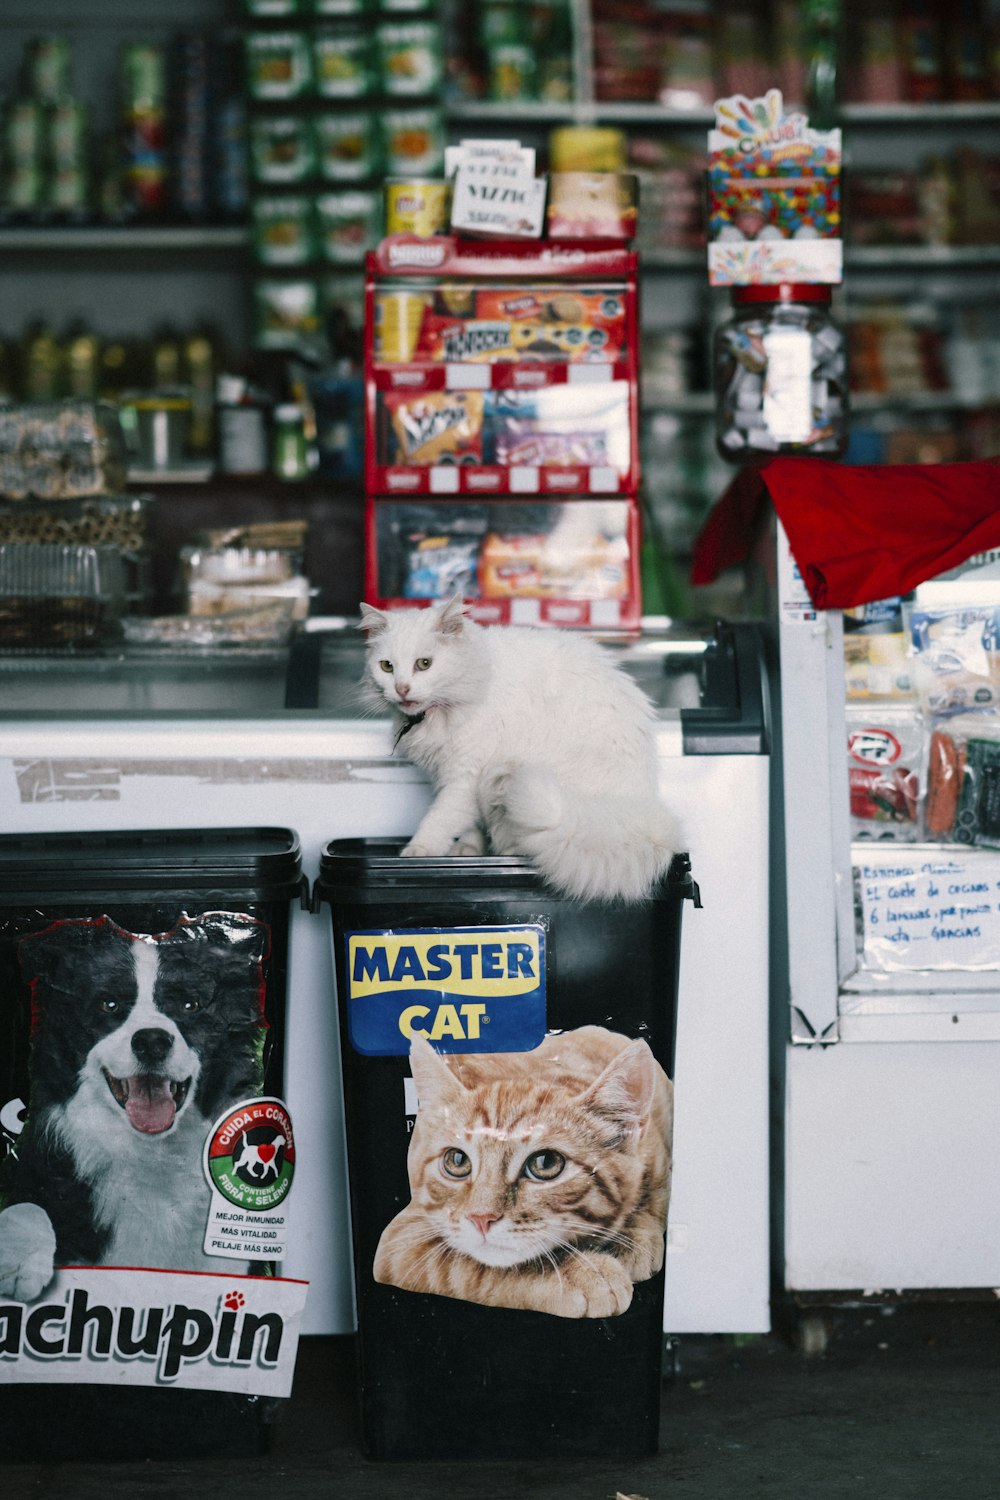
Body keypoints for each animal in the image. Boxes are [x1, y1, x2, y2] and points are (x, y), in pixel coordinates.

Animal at [359, 594, 680, 900]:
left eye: (424, 664)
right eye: (387, 667)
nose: (401, 689)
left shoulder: (466, 776)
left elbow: (440, 818)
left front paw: (417, 850)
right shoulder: (448, 777)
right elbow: (470, 824)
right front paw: (468, 850)